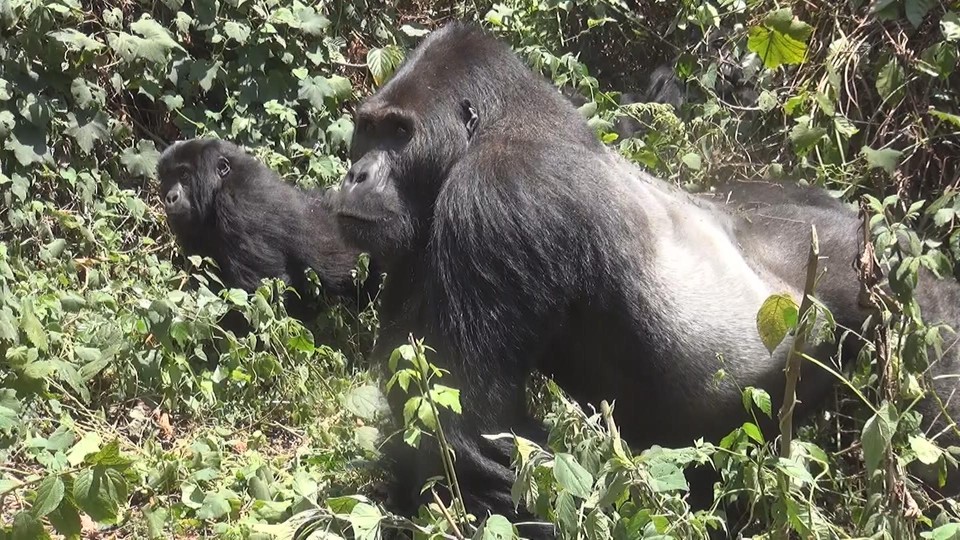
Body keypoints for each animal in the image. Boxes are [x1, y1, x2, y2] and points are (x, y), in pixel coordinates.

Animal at [158, 139, 378, 316]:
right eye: (167, 178)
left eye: (184, 175)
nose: (170, 197)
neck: (220, 184)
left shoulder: (238, 205)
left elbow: (257, 291)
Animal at [332, 24, 960, 536]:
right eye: (368, 129)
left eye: (399, 132)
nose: (355, 175)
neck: (504, 121)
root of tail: (879, 231)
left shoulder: (494, 196)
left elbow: (474, 429)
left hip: (882, 279)